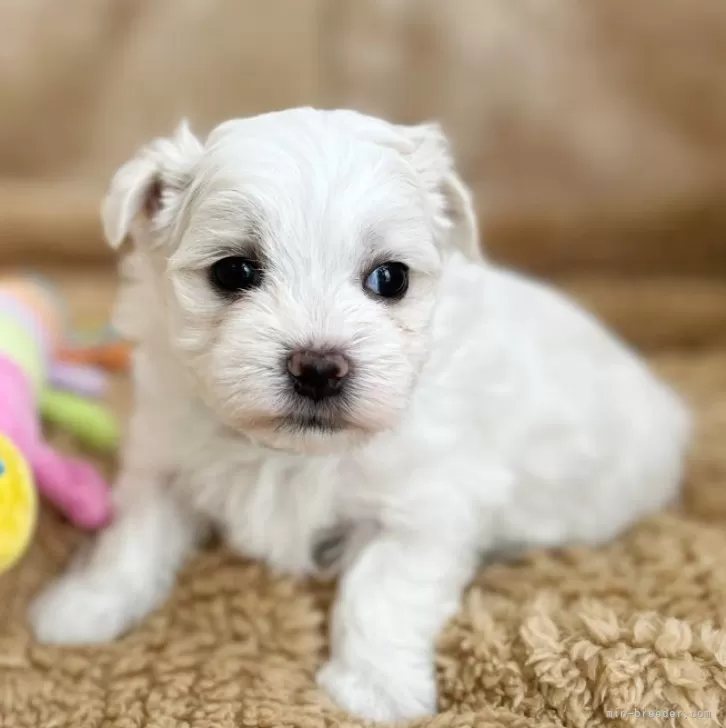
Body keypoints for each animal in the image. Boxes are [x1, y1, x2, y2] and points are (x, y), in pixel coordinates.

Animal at [29, 106, 692, 724]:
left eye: (390, 278)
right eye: (233, 271)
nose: (319, 366)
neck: (288, 453)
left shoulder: (425, 505)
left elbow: (380, 590)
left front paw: (376, 690)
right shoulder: (165, 456)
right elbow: (132, 541)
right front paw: (82, 607)